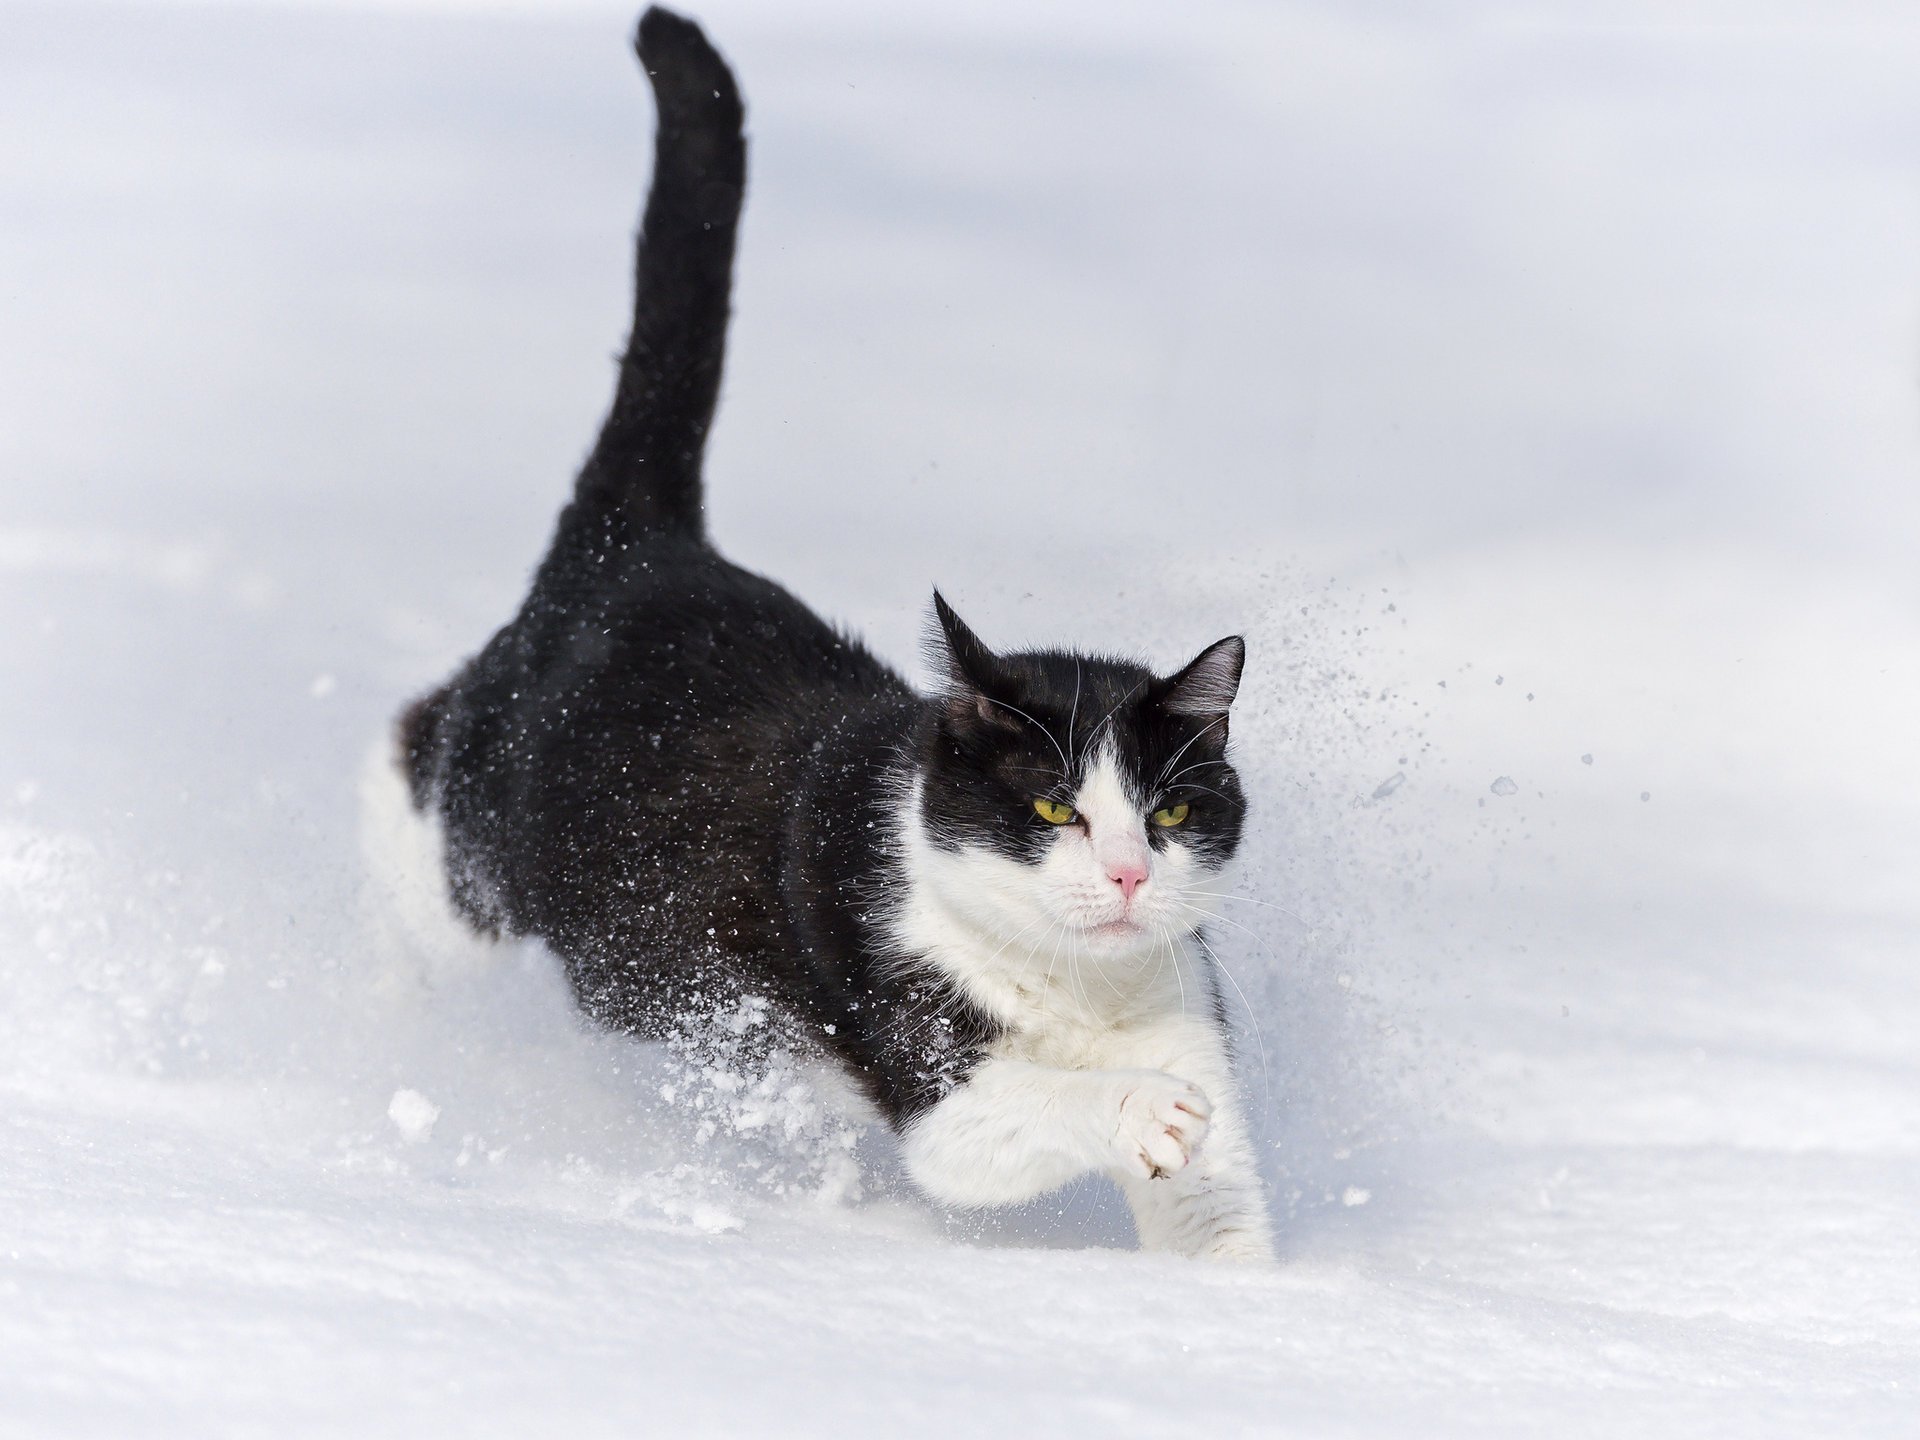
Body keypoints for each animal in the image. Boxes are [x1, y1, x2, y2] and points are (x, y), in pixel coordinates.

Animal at [374, 8, 1274, 1259]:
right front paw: (1142, 1107)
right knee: (408, 756)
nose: (1133, 876)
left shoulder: (1186, 1017)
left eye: (1172, 814)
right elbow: (1007, 1118)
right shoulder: (920, 1051)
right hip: (478, 840)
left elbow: (1222, 1221)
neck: (1076, 993)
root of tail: (643, 544)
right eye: (1055, 809)